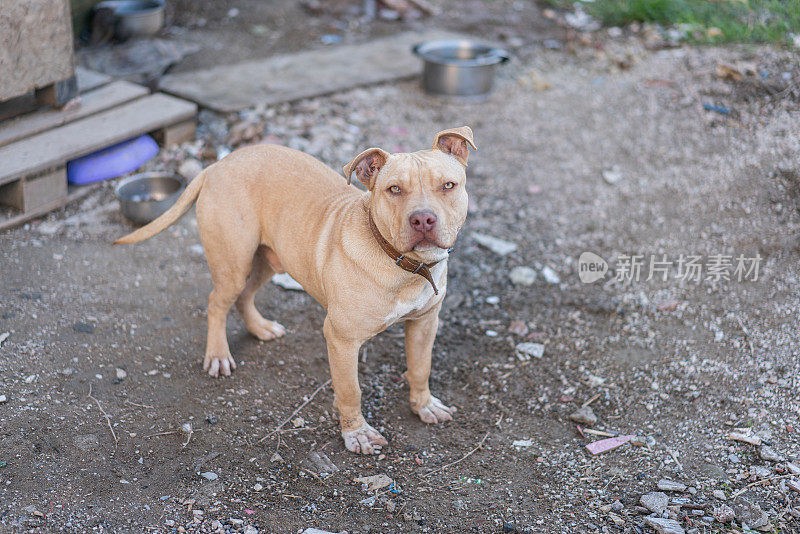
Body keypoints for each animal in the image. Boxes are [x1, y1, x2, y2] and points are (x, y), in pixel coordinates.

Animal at [114, 126, 476, 456]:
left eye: (448, 185)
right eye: (394, 189)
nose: (423, 219)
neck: (404, 266)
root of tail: (219, 164)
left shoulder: (425, 323)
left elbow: (420, 368)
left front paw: (424, 405)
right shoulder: (342, 340)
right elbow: (350, 391)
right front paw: (356, 435)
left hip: (268, 260)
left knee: (244, 297)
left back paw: (260, 328)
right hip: (233, 264)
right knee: (217, 303)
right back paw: (218, 355)